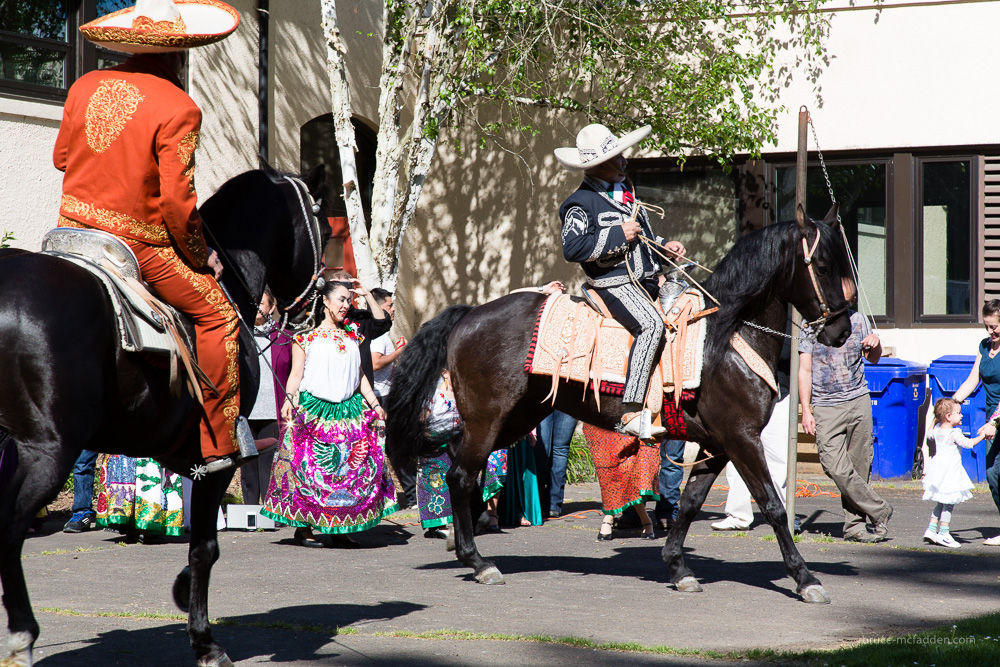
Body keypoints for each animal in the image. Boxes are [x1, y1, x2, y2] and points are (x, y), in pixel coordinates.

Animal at [0, 163, 330, 667]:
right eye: (326, 228)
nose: (314, 309)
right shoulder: (216, 460)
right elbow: (205, 548)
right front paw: (204, 639)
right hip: (46, 452)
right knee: (9, 529)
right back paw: (22, 637)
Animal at [386, 207, 856, 604]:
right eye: (824, 266)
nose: (841, 331)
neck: (726, 338)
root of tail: (469, 315)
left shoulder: (717, 445)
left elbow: (689, 502)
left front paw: (678, 567)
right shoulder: (742, 439)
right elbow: (773, 505)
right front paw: (805, 578)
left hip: (514, 419)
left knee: (460, 467)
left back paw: (464, 542)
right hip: (488, 419)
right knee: (461, 475)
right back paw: (478, 562)